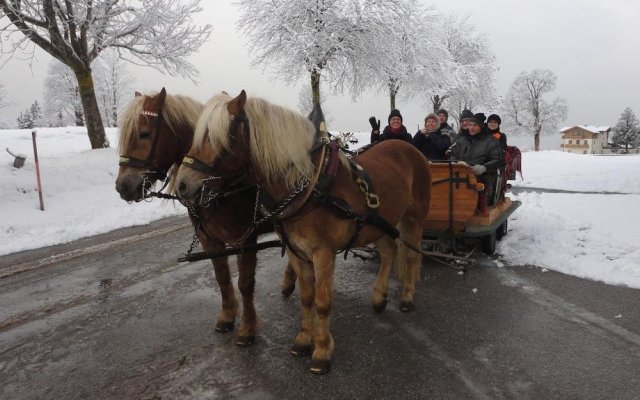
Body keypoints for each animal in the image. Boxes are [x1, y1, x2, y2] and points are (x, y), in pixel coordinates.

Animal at [115, 89, 298, 346]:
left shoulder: (245, 240)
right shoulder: (208, 239)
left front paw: (248, 328)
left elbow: (245, 283)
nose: (123, 187)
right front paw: (227, 316)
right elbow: (221, 276)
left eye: (144, 133)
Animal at [174, 90, 430, 372]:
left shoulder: (323, 254)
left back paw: (407, 297)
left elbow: (322, 301)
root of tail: (408, 148)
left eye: (217, 136)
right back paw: (379, 297)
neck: (307, 186)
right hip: (378, 223)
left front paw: (322, 350)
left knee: (411, 255)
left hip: (414, 218)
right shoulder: (297, 251)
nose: (182, 185)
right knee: (388, 251)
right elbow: (307, 297)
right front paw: (305, 340)